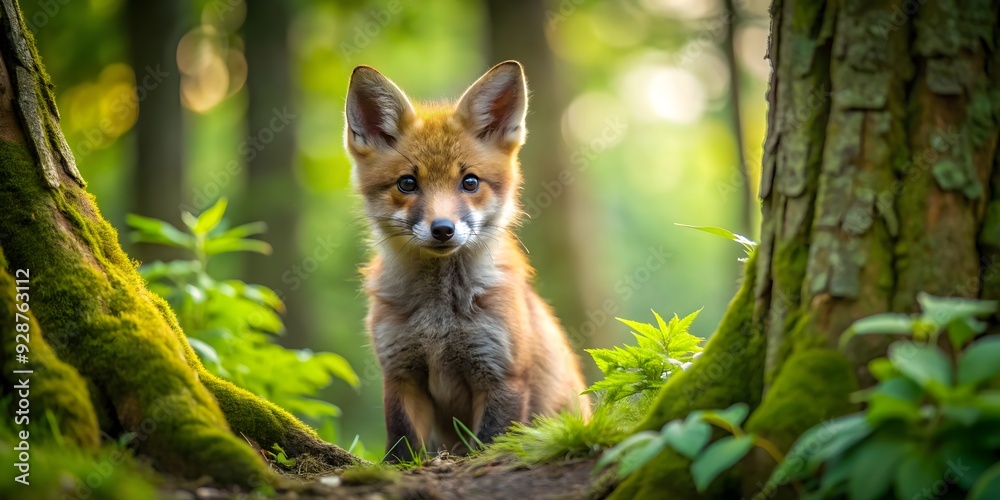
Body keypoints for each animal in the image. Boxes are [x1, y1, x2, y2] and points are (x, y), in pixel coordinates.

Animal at [343, 61, 591, 461]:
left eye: (470, 182)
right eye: (407, 183)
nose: (443, 229)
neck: (439, 321)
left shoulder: (500, 374)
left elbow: (490, 443)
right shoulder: (400, 374)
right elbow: (401, 445)